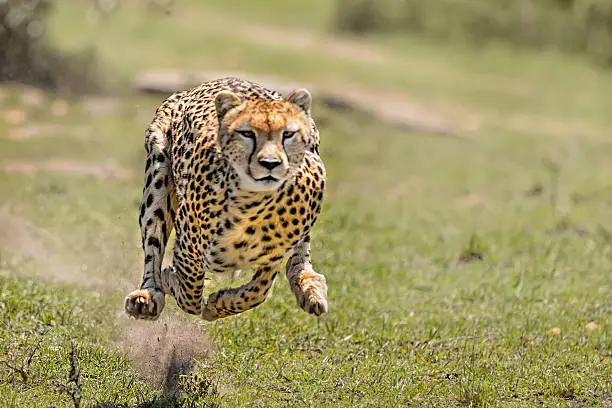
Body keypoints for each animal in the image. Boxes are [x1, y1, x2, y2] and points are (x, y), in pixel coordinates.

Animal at [122, 75, 328, 318]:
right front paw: (171, 280)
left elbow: (258, 291)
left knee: (300, 256)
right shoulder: (188, 246)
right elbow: (190, 292)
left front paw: (218, 305)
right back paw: (147, 295)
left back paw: (310, 287)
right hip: (158, 176)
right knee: (153, 244)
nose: (270, 163)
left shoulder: (273, 255)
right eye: (247, 133)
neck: (255, 205)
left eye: (288, 134)